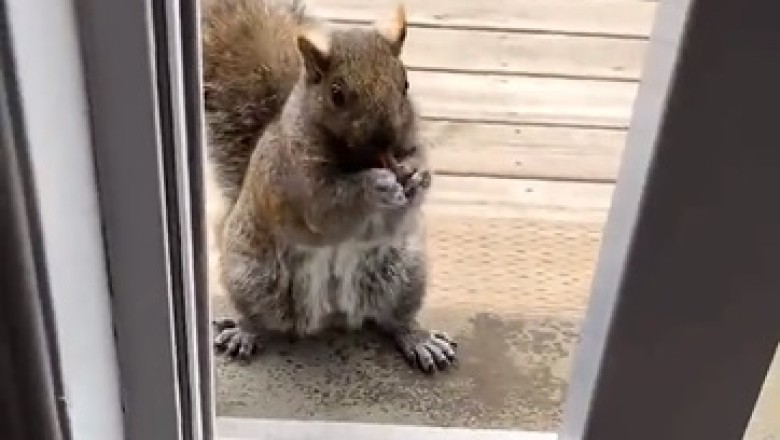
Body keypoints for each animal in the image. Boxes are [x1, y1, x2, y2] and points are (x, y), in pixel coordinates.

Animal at [202, 0, 457, 373]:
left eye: (406, 84)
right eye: (336, 94)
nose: (385, 140)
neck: (357, 161)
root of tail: (332, 314)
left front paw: (416, 177)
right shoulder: (296, 181)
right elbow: (327, 208)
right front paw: (376, 185)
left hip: (407, 273)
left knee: (395, 318)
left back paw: (420, 339)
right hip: (251, 275)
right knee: (259, 317)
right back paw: (244, 332)